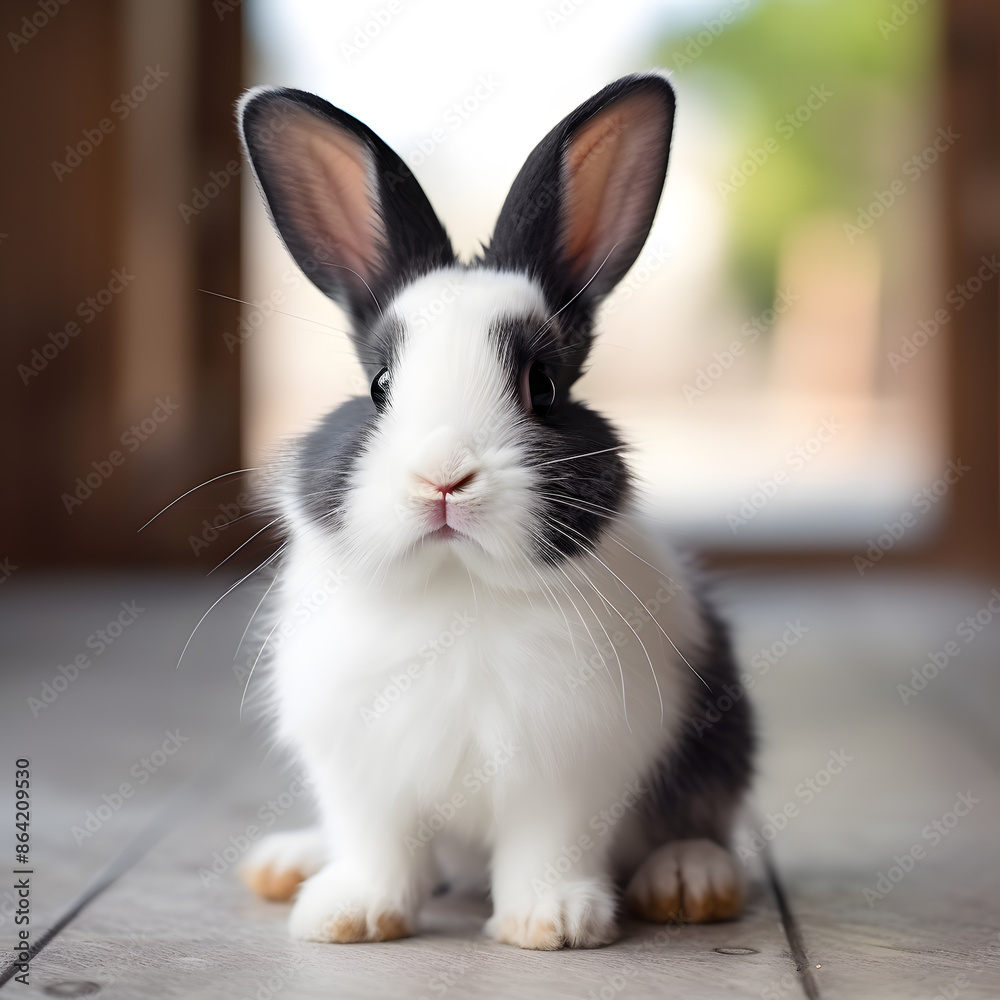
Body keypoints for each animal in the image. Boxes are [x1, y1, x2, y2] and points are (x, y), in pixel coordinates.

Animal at [235, 72, 754, 950]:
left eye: (541, 387)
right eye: (379, 386)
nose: (444, 479)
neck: (458, 586)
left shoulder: (574, 767)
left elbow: (552, 845)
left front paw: (554, 923)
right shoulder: (361, 768)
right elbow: (375, 845)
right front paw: (347, 917)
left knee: (702, 821)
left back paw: (690, 881)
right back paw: (286, 864)